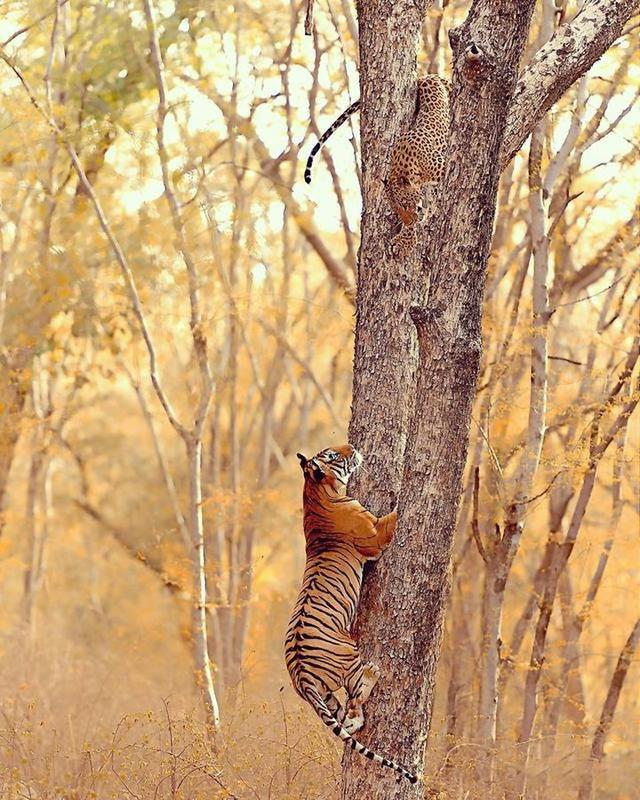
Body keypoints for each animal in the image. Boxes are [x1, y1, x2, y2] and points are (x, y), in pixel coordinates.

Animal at [284, 446, 416, 784]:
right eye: (332, 455)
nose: (352, 448)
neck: (315, 492)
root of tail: (301, 675)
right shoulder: (376, 535)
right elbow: (393, 516)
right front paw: (404, 496)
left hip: (324, 694)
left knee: (345, 717)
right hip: (349, 657)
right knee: (357, 698)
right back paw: (373, 672)